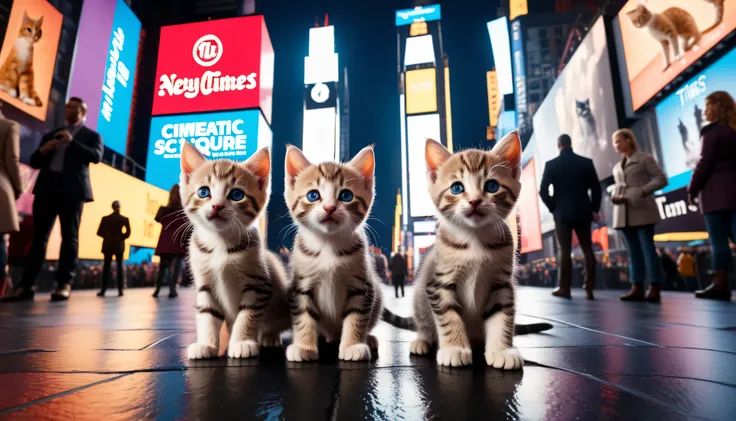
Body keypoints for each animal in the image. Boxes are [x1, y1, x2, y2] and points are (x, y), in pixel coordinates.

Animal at [179, 143, 290, 360]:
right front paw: (206, 344)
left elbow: (247, 315)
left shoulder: (258, 284)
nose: (217, 205)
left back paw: (269, 337)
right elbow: (207, 315)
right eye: (204, 192)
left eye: (237, 195)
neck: (219, 245)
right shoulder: (205, 285)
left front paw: (241, 343)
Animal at [284, 144, 382, 360]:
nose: (329, 208)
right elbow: (303, 315)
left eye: (346, 196)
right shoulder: (300, 285)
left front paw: (353, 346)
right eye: (313, 195)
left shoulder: (362, 284)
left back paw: (369, 338)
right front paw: (304, 346)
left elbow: (357, 317)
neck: (328, 246)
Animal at [408, 131, 524, 368]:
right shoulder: (438, 284)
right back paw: (422, 340)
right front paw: (454, 349)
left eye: (492, 186)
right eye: (457, 188)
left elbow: (502, 315)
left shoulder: (502, 283)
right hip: (419, 297)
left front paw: (501, 350)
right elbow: (448, 316)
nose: (474, 201)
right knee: (423, 321)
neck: (475, 239)